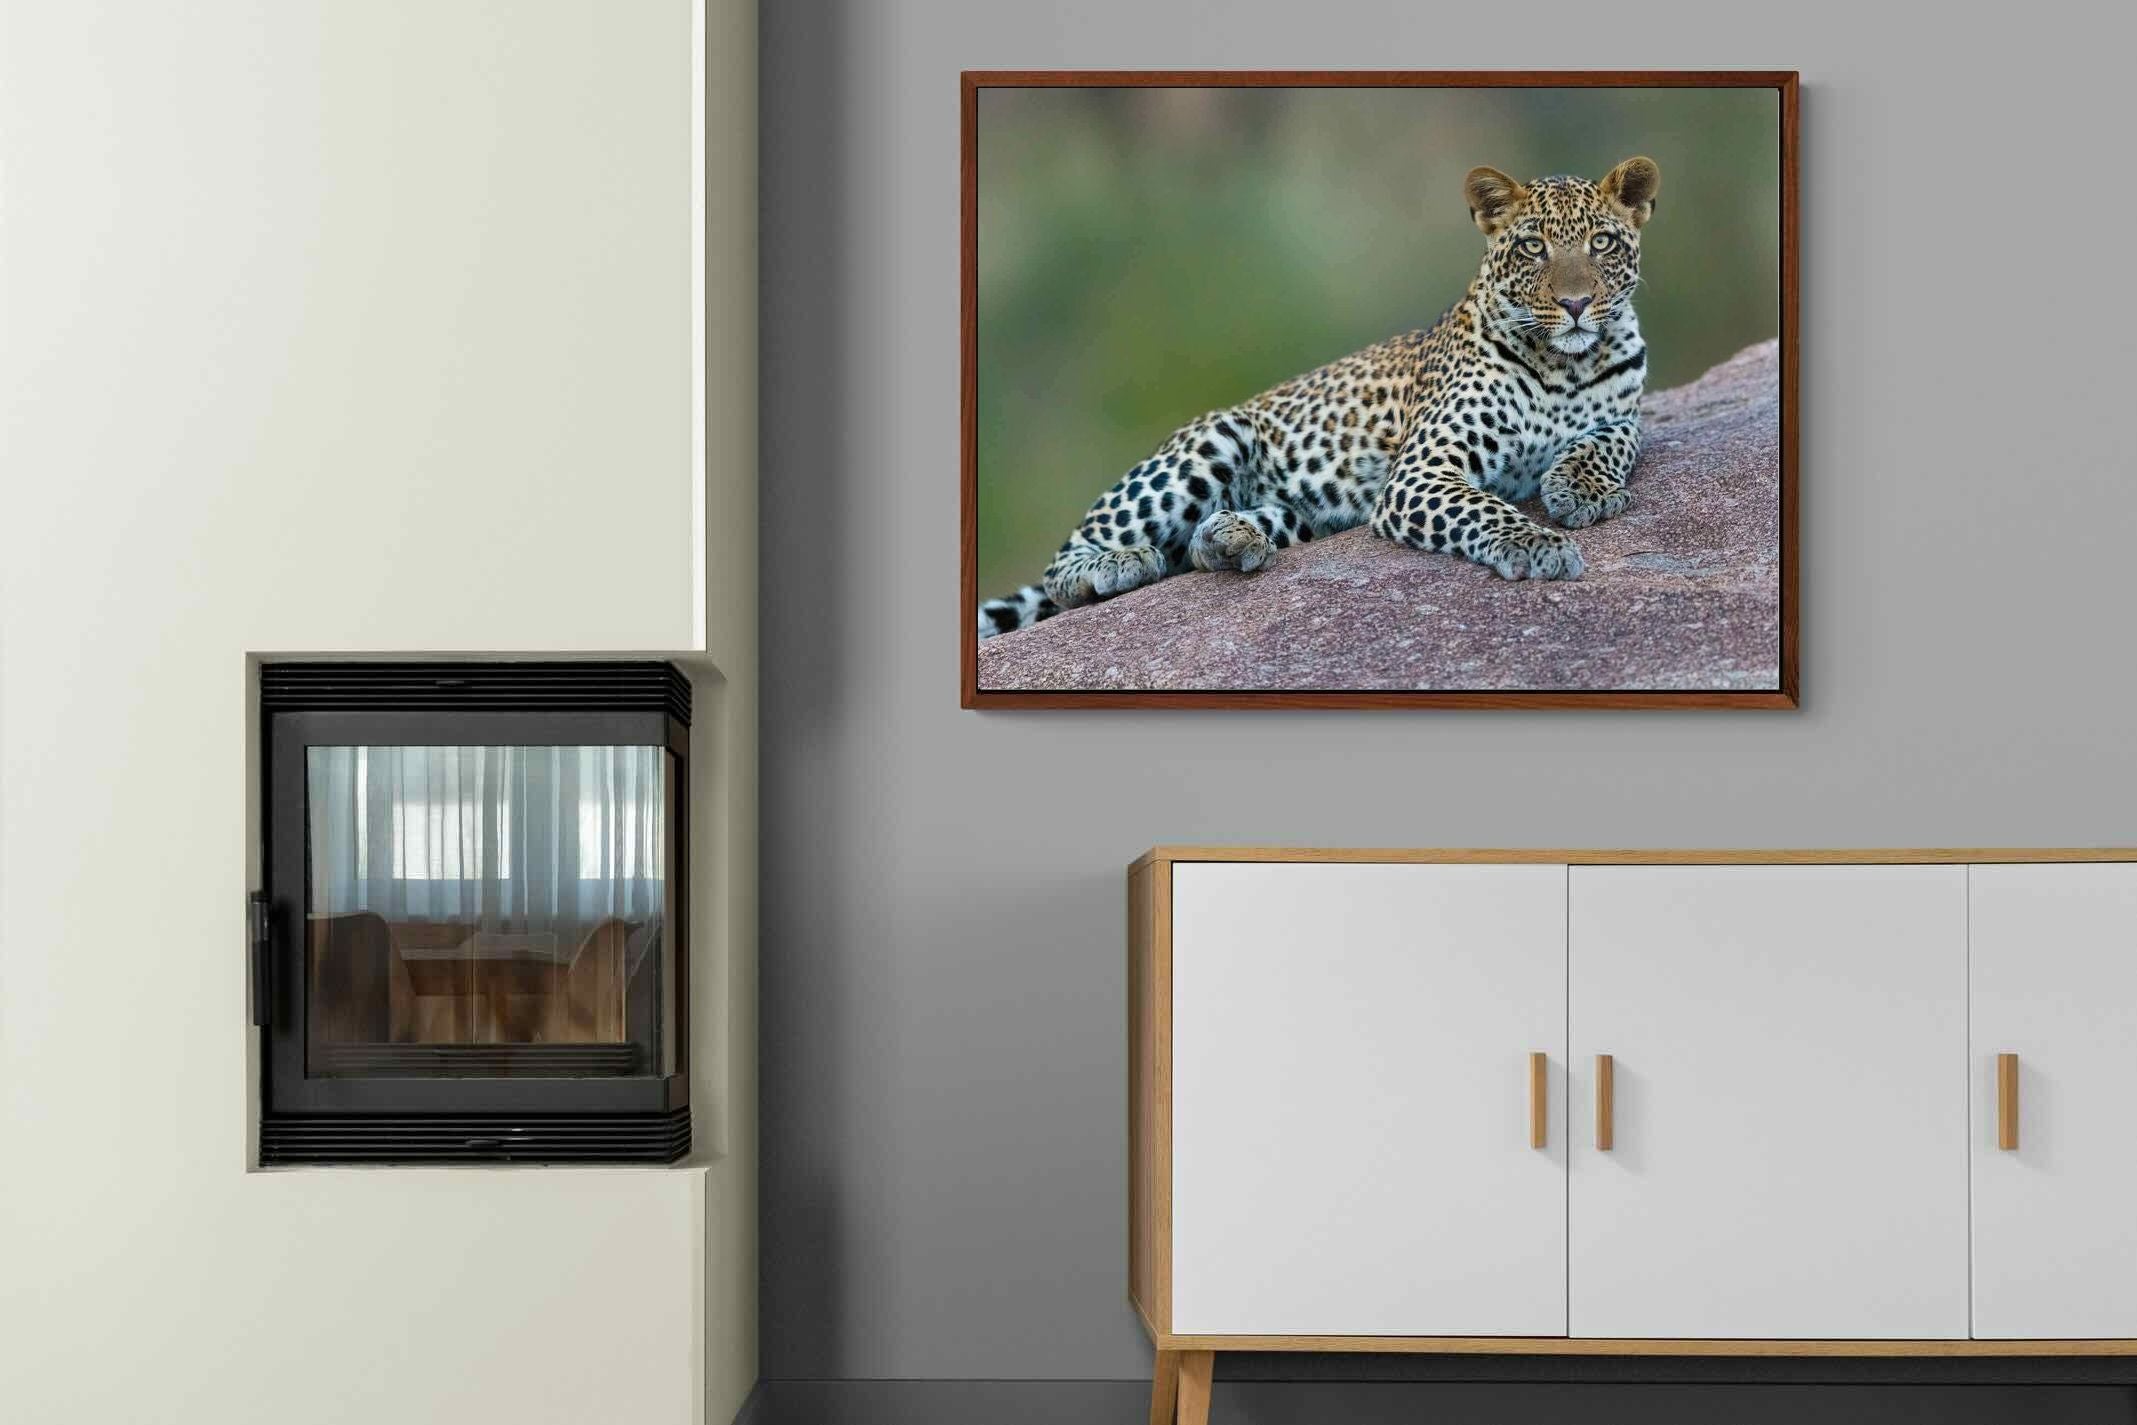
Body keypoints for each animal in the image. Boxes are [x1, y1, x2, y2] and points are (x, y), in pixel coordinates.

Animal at [977, 156, 1660, 640]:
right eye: (1532, 247)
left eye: (1601, 243)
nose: (1575, 304)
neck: (1566, 364)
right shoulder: (1422, 471)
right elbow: (1487, 509)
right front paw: (1539, 544)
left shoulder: (1626, 412)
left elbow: (1612, 441)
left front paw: (1582, 490)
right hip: (1212, 440)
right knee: (1066, 564)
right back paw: (1116, 565)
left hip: (1305, 513)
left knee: (1202, 544)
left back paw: (1230, 538)